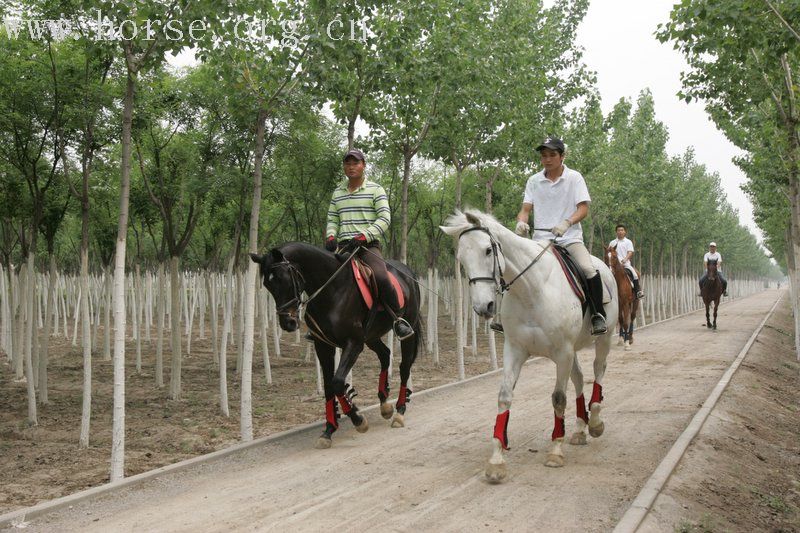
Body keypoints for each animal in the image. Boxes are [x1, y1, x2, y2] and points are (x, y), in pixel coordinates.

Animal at [440, 211, 616, 482]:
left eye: (488, 250)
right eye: (461, 258)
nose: (483, 307)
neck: (532, 290)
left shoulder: (562, 352)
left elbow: (558, 399)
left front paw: (555, 451)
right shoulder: (515, 349)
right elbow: (504, 396)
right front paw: (497, 460)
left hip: (602, 338)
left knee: (599, 369)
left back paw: (595, 422)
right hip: (572, 350)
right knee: (579, 378)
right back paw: (579, 429)